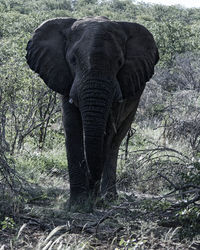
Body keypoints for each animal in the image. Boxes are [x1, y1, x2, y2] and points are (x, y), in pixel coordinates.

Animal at [25, 15, 159, 211]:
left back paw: (109, 197)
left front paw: (91, 199)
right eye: (72, 60)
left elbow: (107, 133)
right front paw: (78, 203)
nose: (90, 181)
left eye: (119, 62)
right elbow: (72, 126)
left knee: (116, 141)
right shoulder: (65, 78)